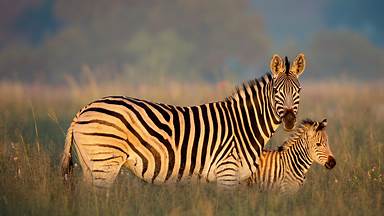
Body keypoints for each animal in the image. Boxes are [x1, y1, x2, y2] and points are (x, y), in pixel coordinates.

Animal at [60, 53, 306, 187]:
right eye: (276, 91)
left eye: (298, 90)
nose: (289, 120)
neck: (244, 125)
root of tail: (83, 109)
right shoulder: (227, 172)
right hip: (105, 161)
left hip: (90, 164)